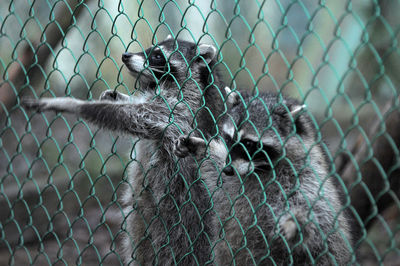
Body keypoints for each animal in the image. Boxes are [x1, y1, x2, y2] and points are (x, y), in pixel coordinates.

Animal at [22, 35, 228, 266]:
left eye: (158, 55)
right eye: (148, 48)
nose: (125, 55)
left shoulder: (176, 109)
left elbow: (134, 115)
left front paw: (72, 104)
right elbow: (133, 108)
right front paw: (115, 96)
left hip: (181, 221)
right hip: (142, 217)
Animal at [175, 90, 354, 264]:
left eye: (248, 144)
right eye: (228, 138)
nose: (228, 170)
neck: (260, 169)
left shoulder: (307, 177)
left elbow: (319, 216)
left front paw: (296, 223)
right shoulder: (234, 179)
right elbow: (217, 174)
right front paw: (202, 148)